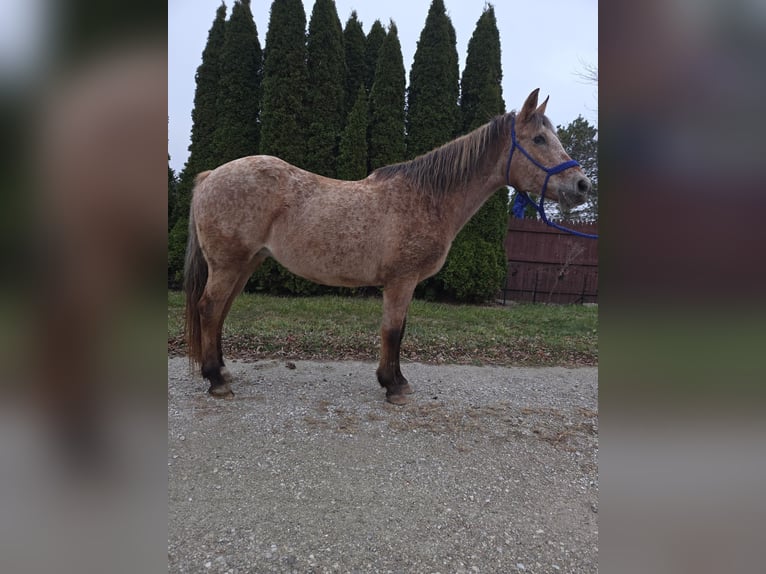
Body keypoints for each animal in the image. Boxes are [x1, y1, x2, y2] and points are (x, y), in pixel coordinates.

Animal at [184, 89, 592, 405]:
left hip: (245, 264)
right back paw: (216, 381)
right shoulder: (401, 281)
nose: (582, 185)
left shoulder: (403, 284)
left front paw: (396, 380)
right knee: (209, 309)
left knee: (220, 311)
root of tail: (210, 176)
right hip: (228, 264)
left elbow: (400, 330)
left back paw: (222, 371)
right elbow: (393, 331)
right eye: (539, 139)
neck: (427, 197)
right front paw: (393, 386)